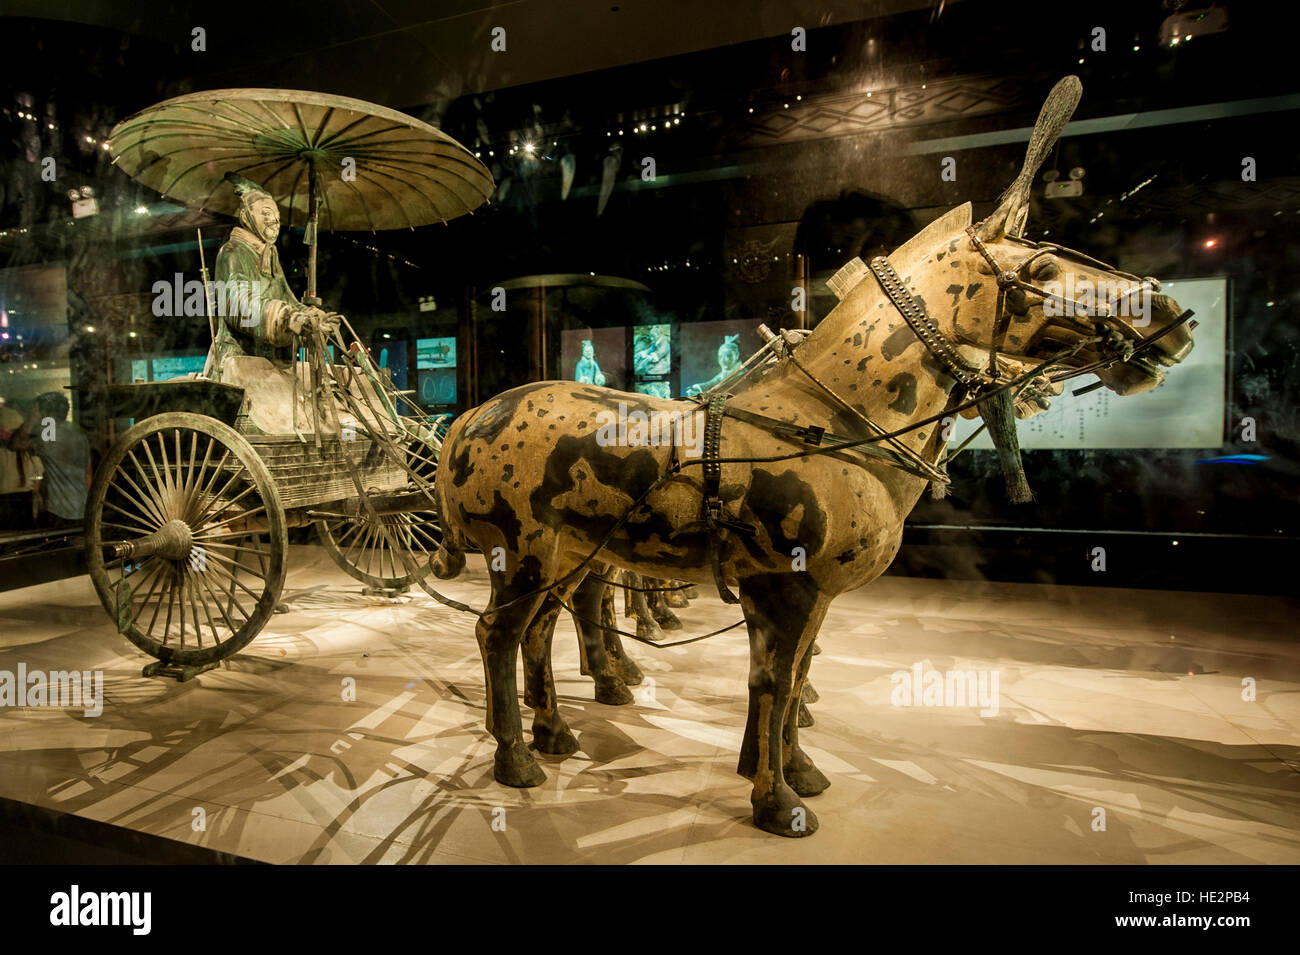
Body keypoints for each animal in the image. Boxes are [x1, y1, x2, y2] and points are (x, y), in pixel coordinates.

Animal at [428, 78, 1196, 831]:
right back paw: (516, 757)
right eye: (1039, 264)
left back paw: (554, 732)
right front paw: (776, 800)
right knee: (497, 633)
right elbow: (773, 681)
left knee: (539, 632)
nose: (1170, 316)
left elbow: (795, 678)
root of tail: (469, 418)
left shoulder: (815, 592)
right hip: (523, 554)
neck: (827, 421)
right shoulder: (784, 586)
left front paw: (796, 770)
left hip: (570, 554)